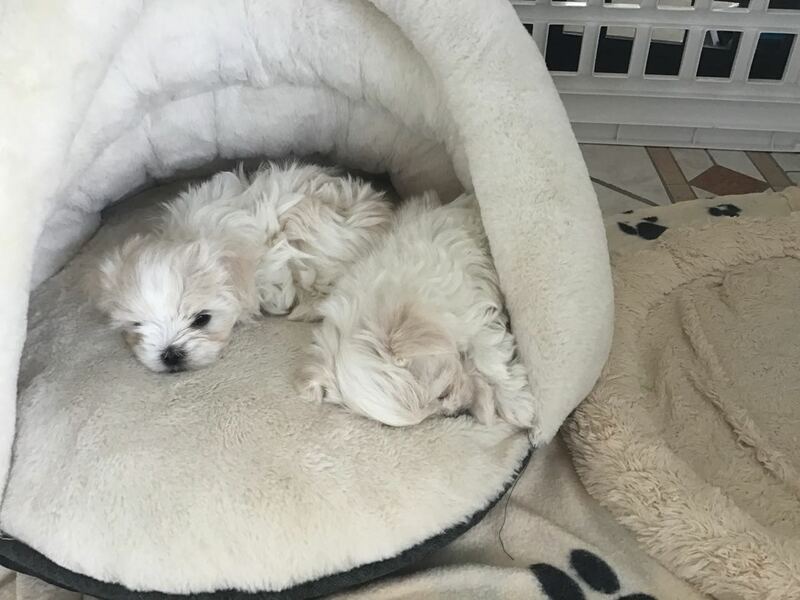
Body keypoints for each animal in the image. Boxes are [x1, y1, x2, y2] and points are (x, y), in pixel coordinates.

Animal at [299, 192, 537, 431]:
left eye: (443, 393)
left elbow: (491, 359)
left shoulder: (471, 313)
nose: (455, 412)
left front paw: (516, 405)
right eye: (438, 405)